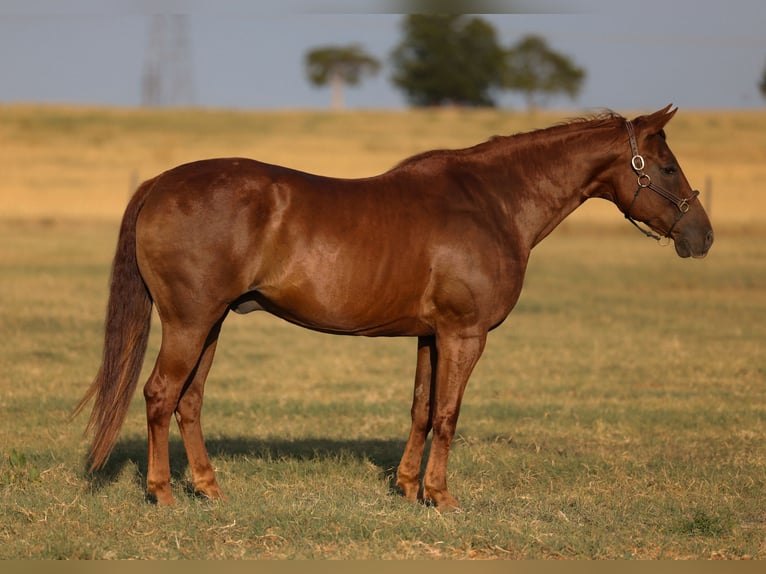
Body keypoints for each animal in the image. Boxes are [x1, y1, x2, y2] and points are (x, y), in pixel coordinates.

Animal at [74, 104, 713, 508]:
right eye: (667, 166)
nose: (702, 236)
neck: (492, 202)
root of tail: (159, 183)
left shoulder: (431, 335)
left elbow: (421, 410)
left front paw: (408, 487)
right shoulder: (465, 335)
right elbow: (449, 414)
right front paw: (441, 497)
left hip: (210, 324)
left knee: (189, 401)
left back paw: (208, 488)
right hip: (190, 322)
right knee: (161, 395)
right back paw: (162, 494)